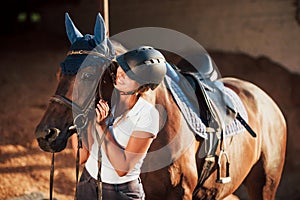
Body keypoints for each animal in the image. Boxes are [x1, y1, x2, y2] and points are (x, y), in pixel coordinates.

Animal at [34, 13, 286, 199]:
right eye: (58, 74)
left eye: (87, 75)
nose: (45, 134)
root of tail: (268, 102)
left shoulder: (181, 193)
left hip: (265, 185)